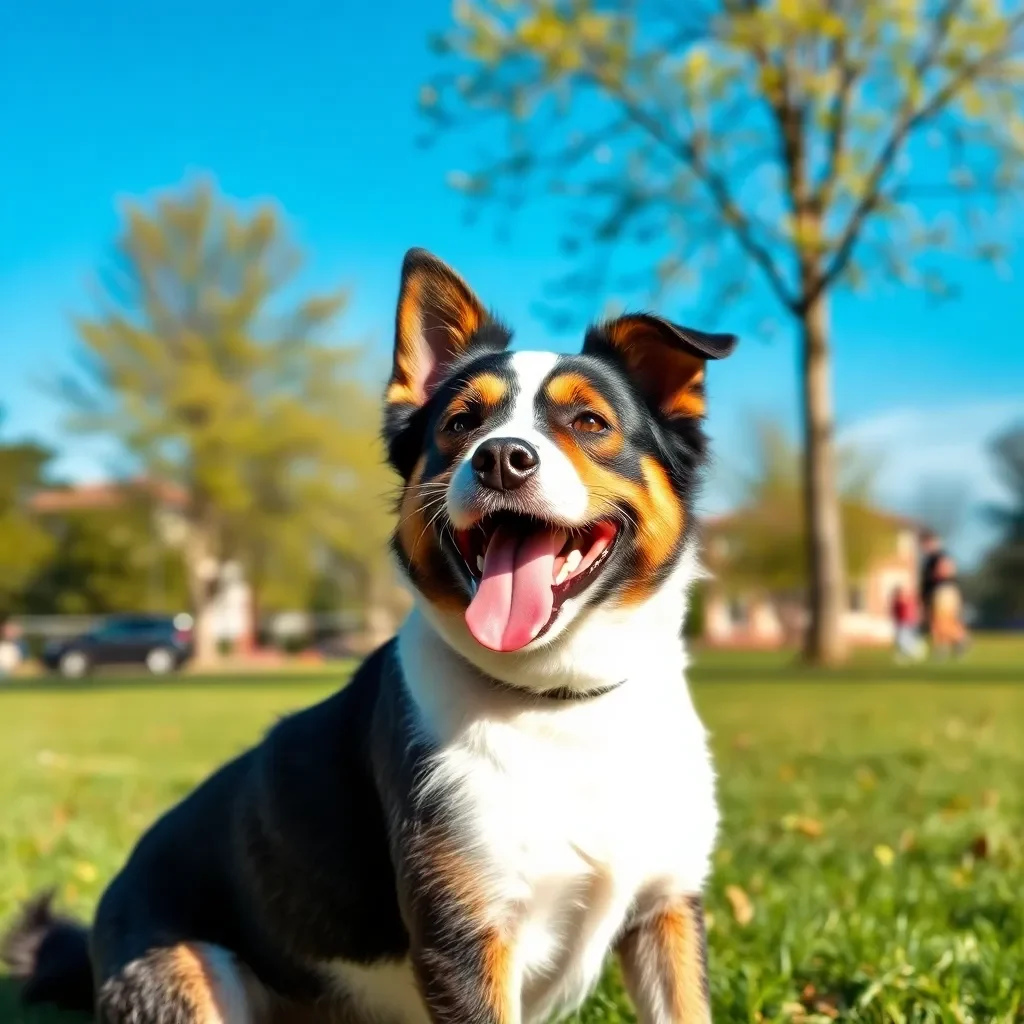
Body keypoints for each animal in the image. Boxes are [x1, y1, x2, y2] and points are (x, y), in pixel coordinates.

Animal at [0, 249, 737, 1024]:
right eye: (460, 423)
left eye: (591, 421)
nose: (500, 457)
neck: (559, 701)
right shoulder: (463, 936)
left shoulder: (668, 908)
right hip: (186, 973)